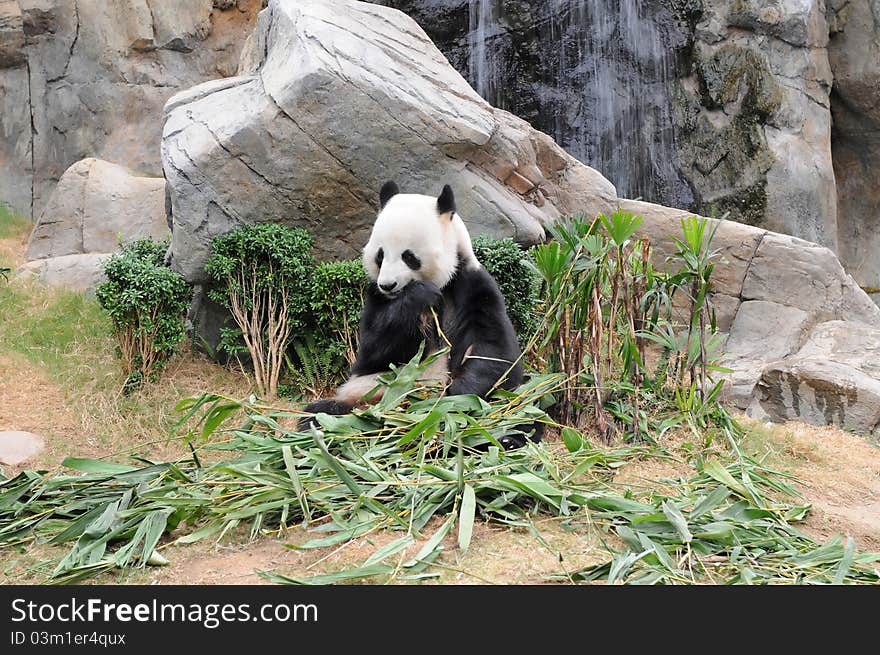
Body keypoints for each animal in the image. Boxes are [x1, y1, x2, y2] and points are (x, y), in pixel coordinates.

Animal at [300, 182, 540, 448]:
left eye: (408, 256)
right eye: (380, 255)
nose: (388, 285)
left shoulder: (473, 286)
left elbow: (493, 350)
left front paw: (460, 395)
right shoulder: (375, 297)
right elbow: (372, 352)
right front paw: (419, 295)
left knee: (525, 407)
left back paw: (507, 437)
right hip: (364, 395)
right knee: (322, 414)